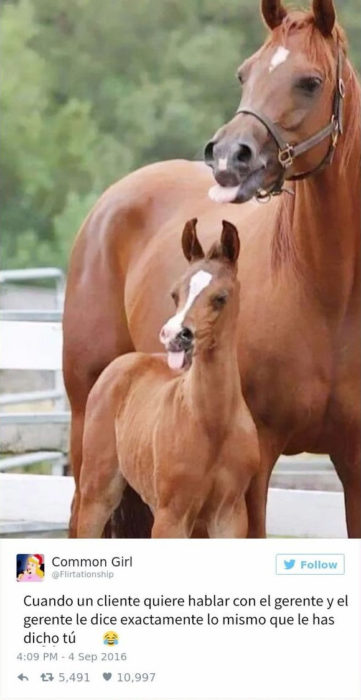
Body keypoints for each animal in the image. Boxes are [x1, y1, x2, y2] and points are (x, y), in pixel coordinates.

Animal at [76, 221, 258, 540]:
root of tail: (122, 363)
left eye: (220, 297)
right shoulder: (172, 515)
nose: (174, 335)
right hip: (98, 490)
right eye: (175, 294)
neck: (212, 423)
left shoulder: (230, 515)